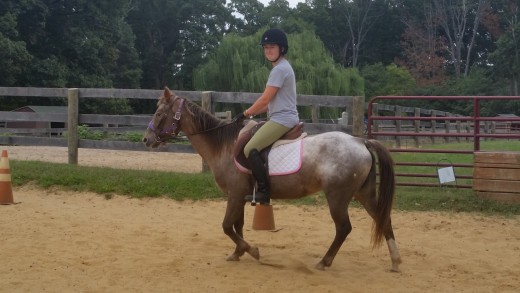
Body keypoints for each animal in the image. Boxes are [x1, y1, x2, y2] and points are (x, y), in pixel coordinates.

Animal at [142, 87, 402, 272]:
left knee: (344, 228)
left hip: (337, 197)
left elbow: (226, 226)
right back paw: (395, 261)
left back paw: (324, 261)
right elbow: (237, 225)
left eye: (159, 113)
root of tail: (360, 141)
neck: (224, 145)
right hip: (363, 193)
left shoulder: (234, 195)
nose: (146, 139)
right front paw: (238, 253)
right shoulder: (241, 196)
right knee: (383, 219)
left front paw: (252, 251)